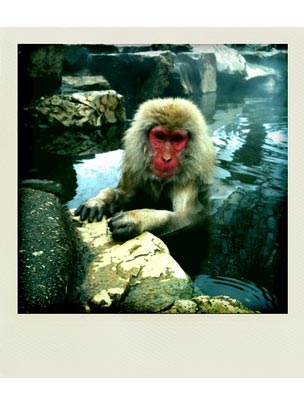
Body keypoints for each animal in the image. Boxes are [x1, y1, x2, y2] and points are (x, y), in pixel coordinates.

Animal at [74, 98, 215, 241]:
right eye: (160, 137)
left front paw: (137, 218)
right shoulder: (135, 169)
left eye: (177, 139)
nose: (166, 158)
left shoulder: (188, 178)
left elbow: (189, 217)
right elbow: (126, 194)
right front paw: (99, 200)